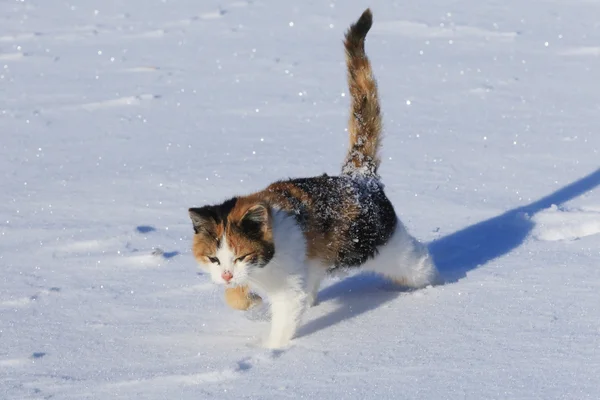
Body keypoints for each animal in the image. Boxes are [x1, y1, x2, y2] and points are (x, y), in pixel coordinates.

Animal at [189, 7, 440, 348]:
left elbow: (283, 323)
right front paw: (249, 302)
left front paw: (271, 353)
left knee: (421, 264)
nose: (226, 274)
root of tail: (359, 177)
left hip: (390, 250)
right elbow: (236, 297)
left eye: (242, 256)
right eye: (214, 260)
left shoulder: (289, 287)